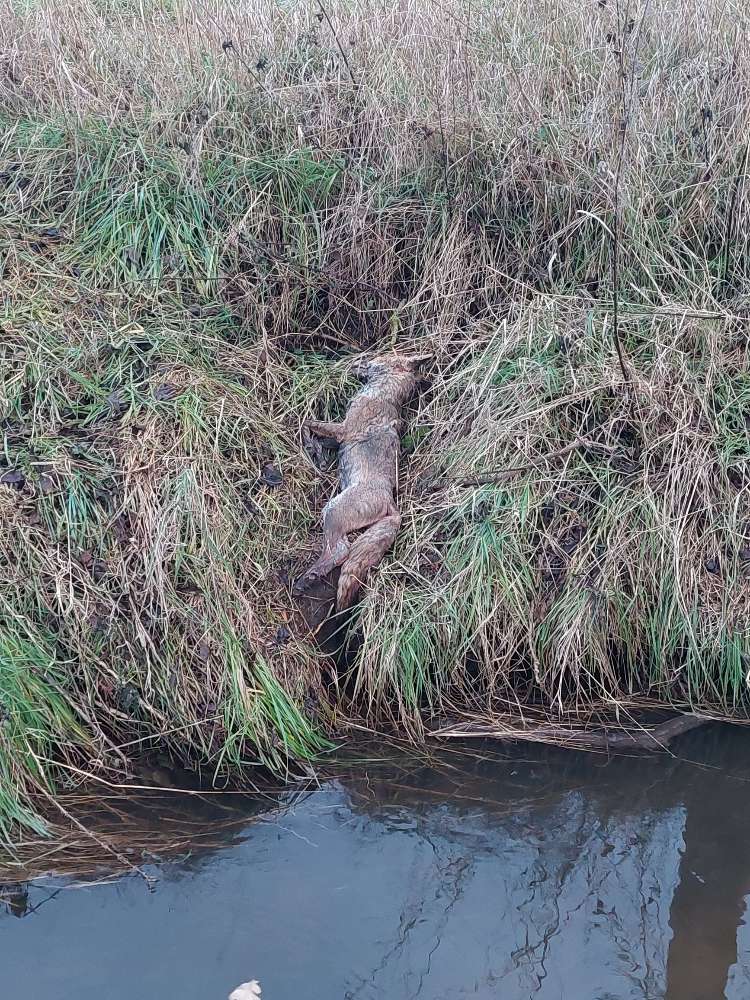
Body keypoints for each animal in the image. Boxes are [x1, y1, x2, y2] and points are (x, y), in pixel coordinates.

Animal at [294, 353, 428, 610]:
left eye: (383, 355)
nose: (355, 360)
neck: (384, 393)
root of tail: (391, 504)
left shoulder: (342, 430)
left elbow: (306, 423)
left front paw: (312, 447)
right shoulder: (339, 438)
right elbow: (315, 434)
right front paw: (319, 455)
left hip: (332, 510)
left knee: (341, 551)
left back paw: (307, 578)